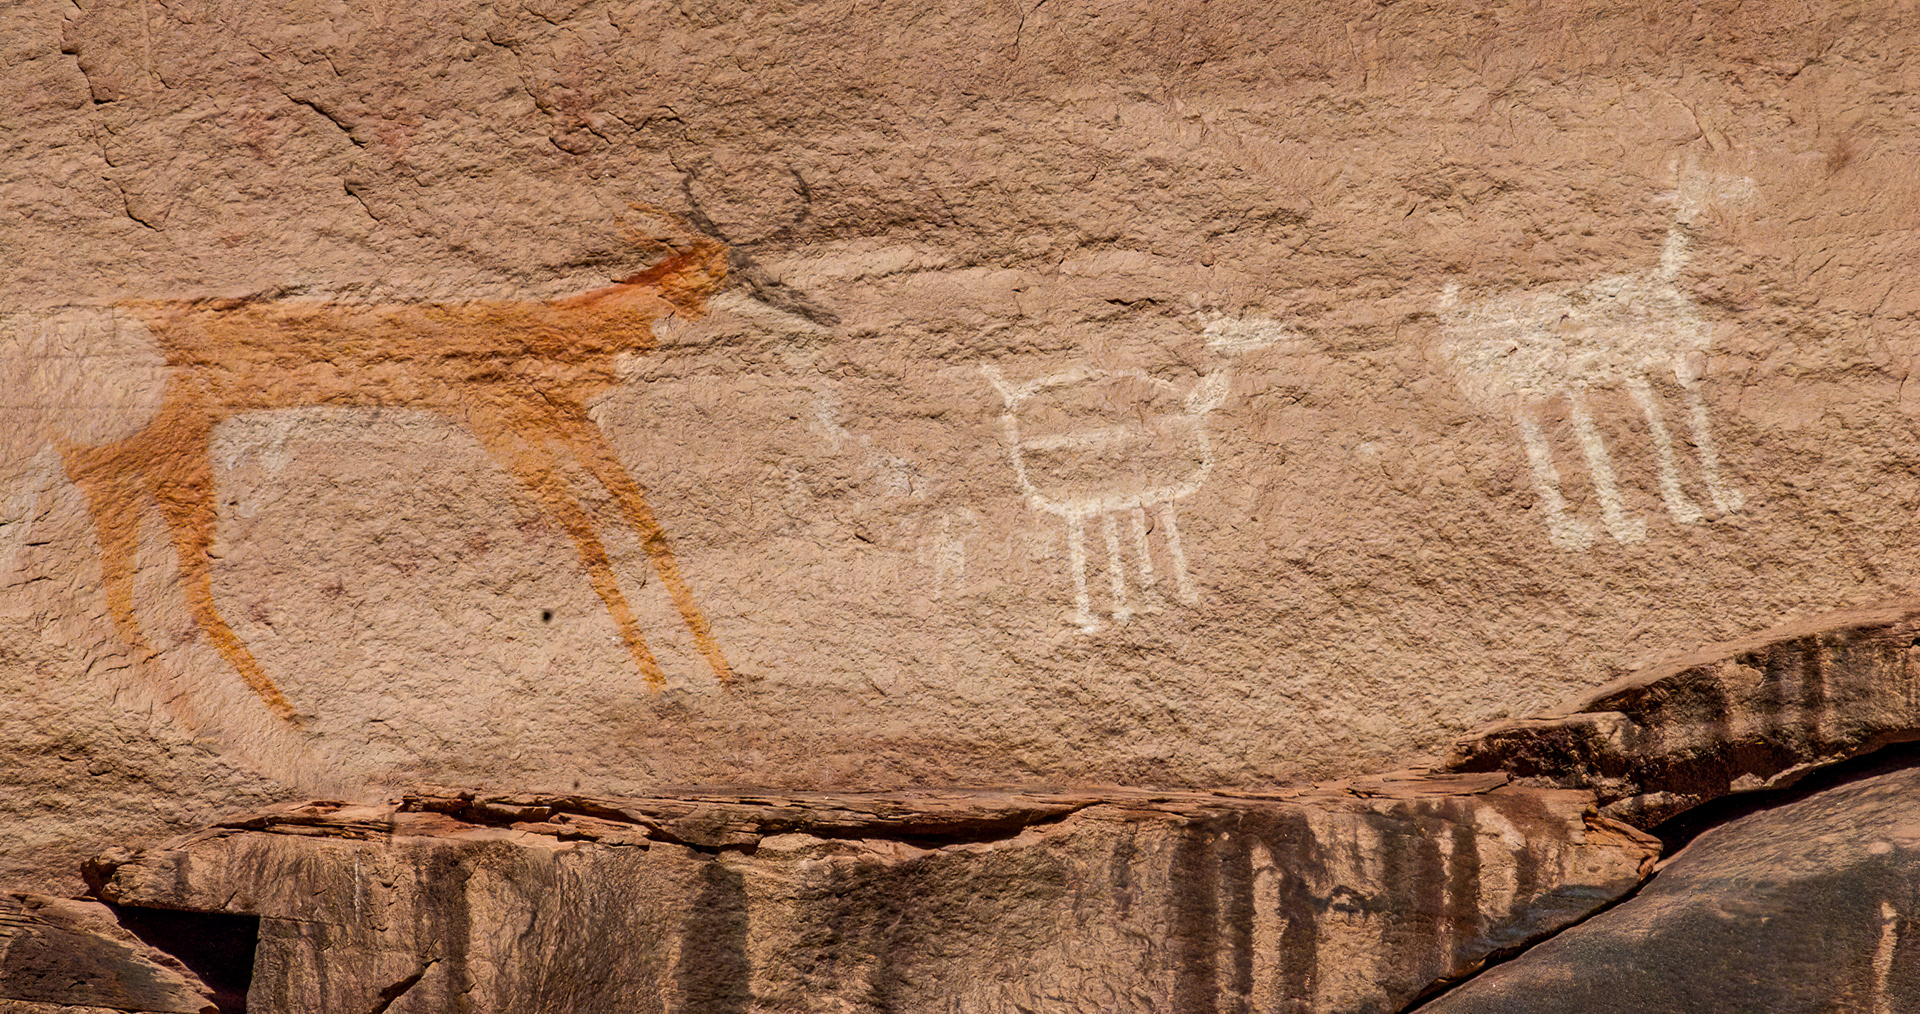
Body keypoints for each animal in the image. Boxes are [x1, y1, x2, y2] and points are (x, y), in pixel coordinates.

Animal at [51, 209, 736, 722]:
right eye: (706, 269)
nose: (707, 305)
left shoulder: (571, 421)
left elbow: (640, 516)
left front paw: (719, 673)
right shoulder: (504, 424)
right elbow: (590, 534)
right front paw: (665, 678)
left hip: (139, 469)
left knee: (132, 594)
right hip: (167, 461)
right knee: (166, 589)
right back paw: (281, 721)